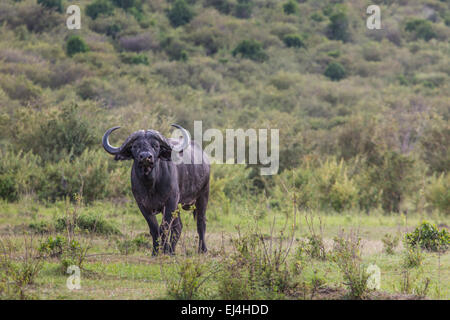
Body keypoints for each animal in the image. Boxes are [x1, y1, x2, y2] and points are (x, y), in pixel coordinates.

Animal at [101, 125, 210, 255]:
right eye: (135, 146)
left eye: (156, 145)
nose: (145, 157)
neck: (151, 186)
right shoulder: (142, 205)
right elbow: (154, 228)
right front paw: (156, 252)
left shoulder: (170, 201)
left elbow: (164, 227)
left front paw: (162, 251)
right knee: (178, 227)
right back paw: (171, 251)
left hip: (203, 195)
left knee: (201, 222)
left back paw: (202, 249)